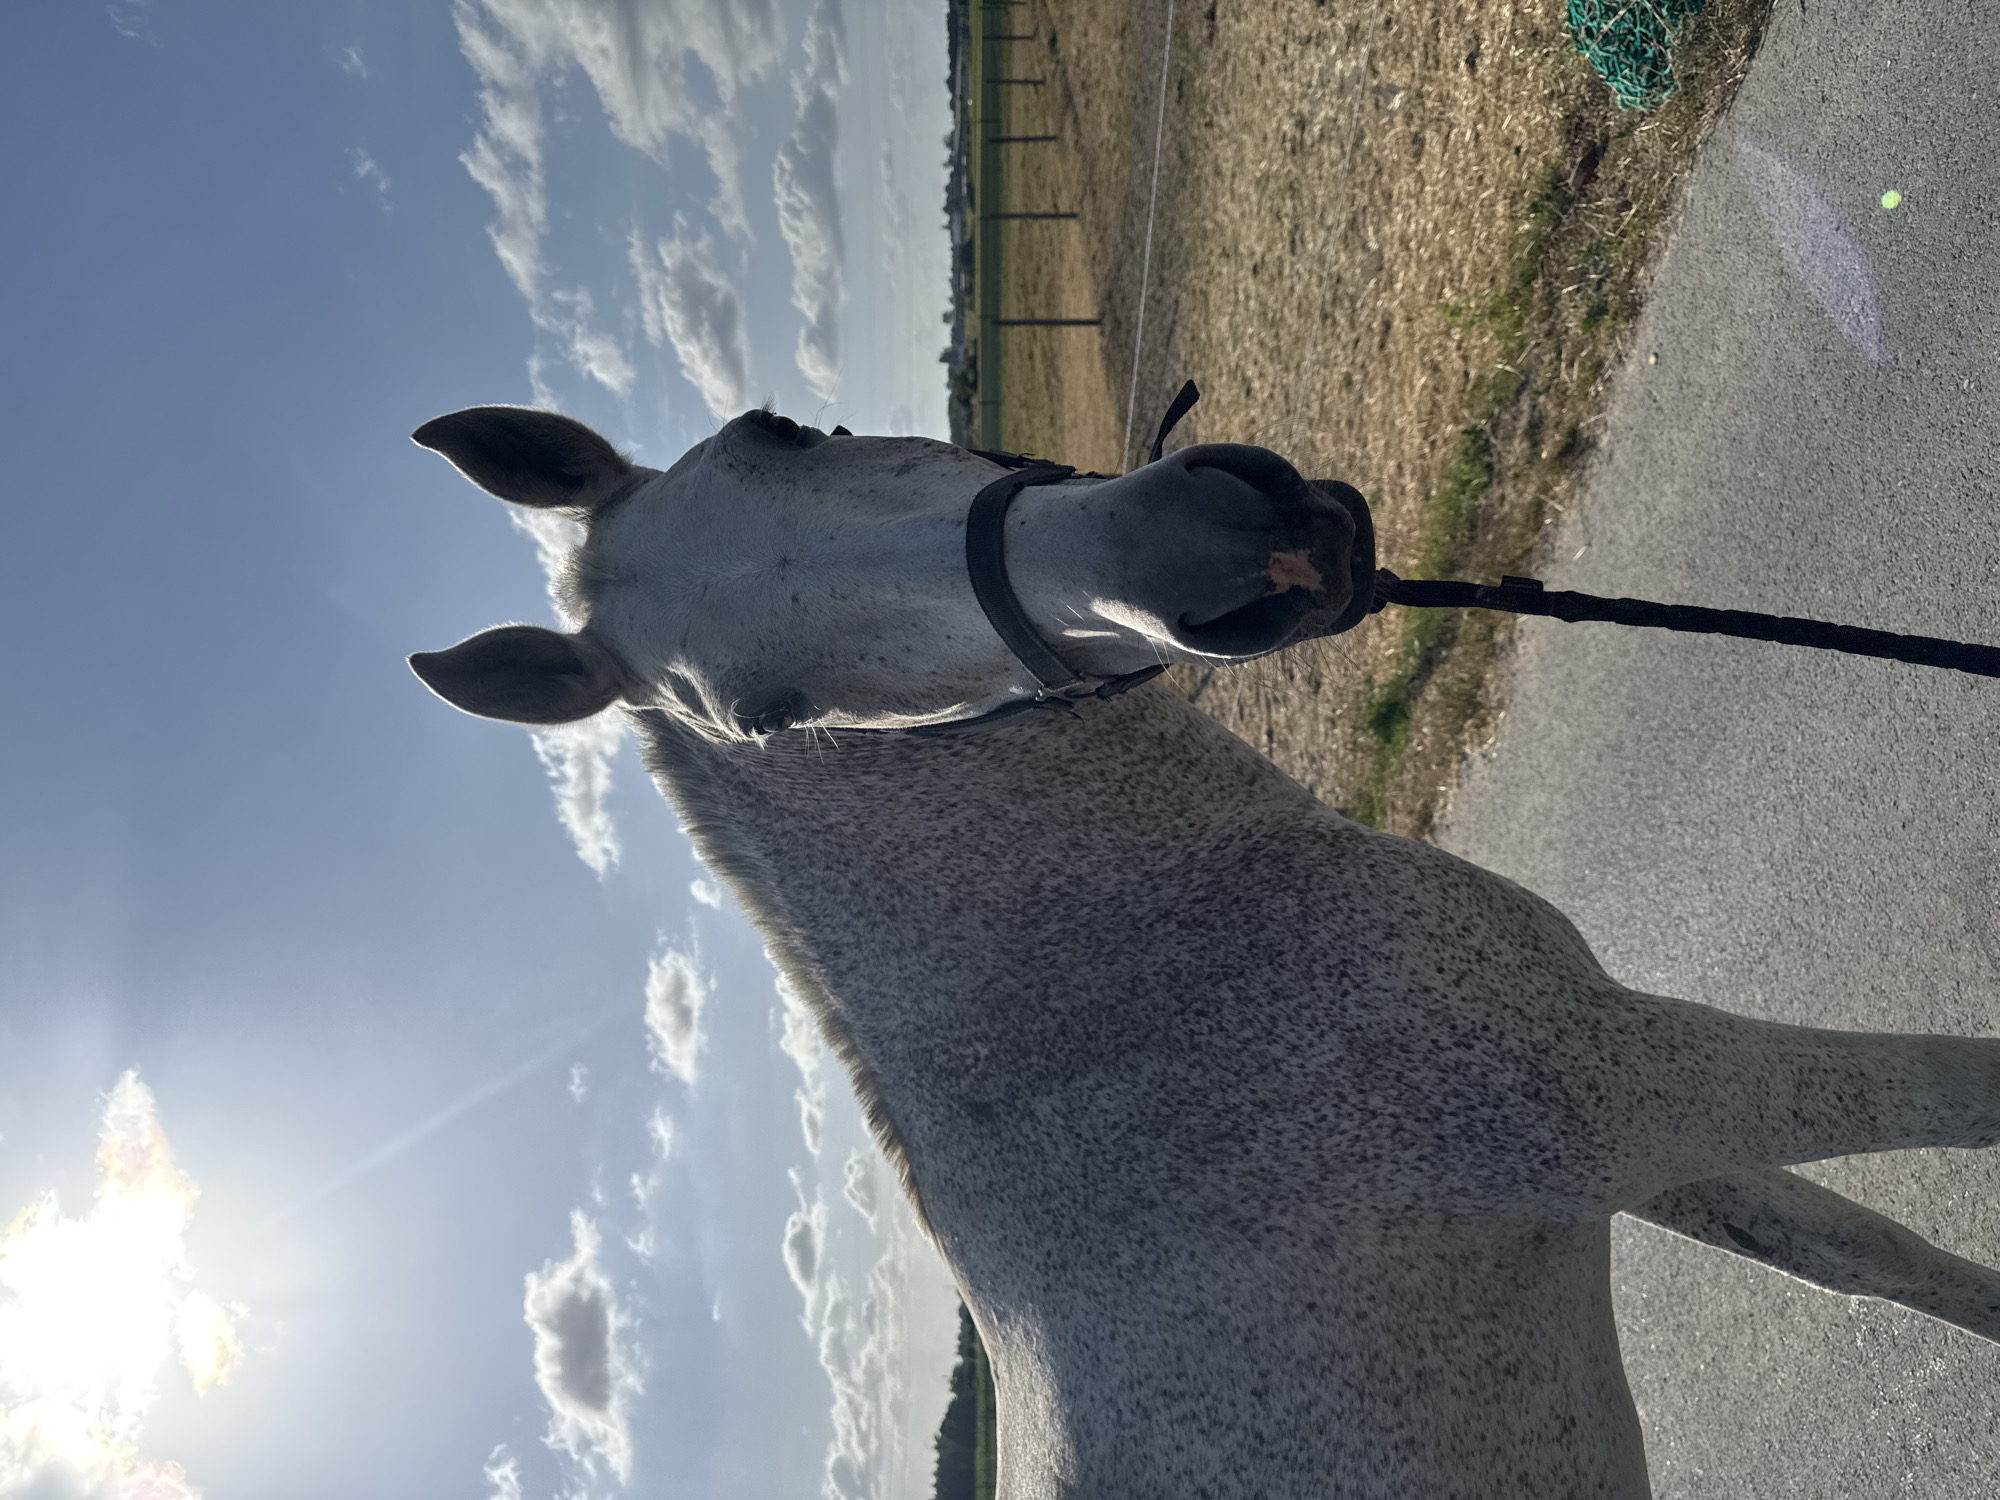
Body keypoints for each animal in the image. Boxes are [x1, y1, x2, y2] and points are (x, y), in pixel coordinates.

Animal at [409, 403, 2000, 1498]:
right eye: (765, 714)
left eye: (784, 431)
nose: (1221, 543)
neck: (1146, 991)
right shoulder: (1629, 1084)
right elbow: (1959, 1099)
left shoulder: (1635, 1134)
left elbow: (1874, 1260)